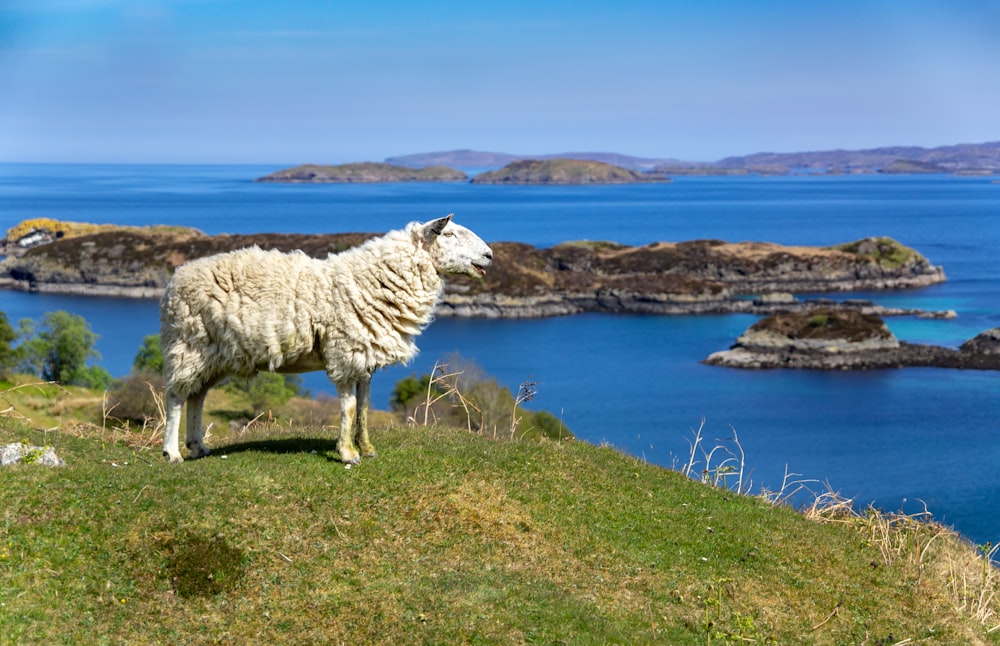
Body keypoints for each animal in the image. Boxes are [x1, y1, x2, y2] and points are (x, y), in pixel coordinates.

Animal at [160, 216, 492, 466]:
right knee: (176, 396)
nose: (490, 255)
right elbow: (348, 407)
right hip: (189, 344)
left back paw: (198, 446)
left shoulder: (366, 355)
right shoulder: (344, 352)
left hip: (214, 354)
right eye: (449, 233)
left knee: (197, 396)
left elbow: (364, 406)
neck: (374, 279)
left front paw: (366, 447)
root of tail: (175, 279)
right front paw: (347, 453)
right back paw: (172, 452)